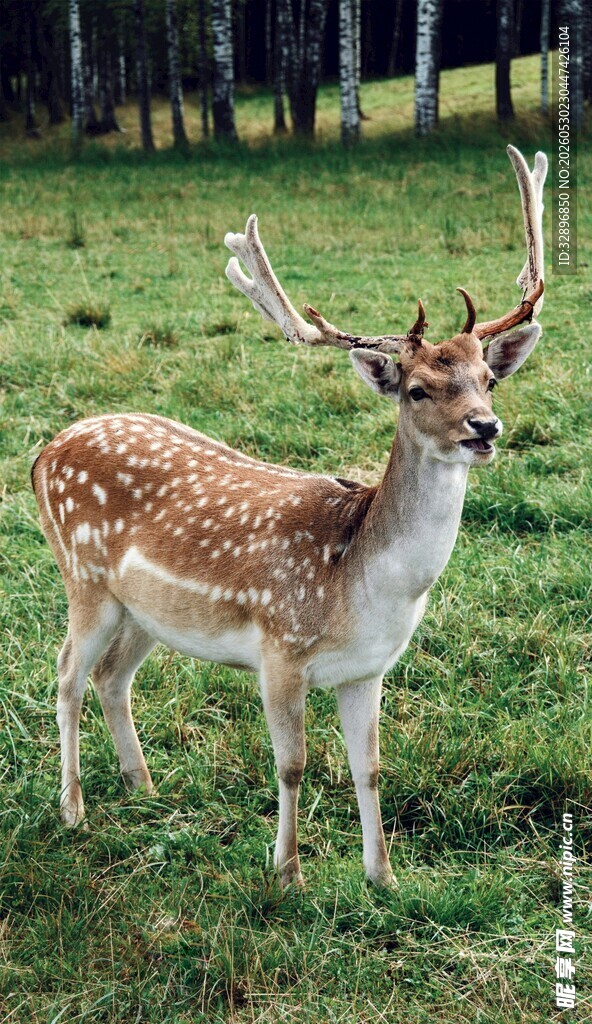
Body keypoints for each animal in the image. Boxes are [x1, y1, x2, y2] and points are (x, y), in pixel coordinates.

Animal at [32, 145, 546, 888]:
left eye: (490, 379)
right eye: (418, 389)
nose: (486, 428)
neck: (360, 585)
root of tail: (42, 454)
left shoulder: (369, 668)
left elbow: (371, 768)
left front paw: (383, 878)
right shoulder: (280, 650)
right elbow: (293, 764)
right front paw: (287, 875)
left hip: (145, 610)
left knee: (112, 677)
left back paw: (143, 787)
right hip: (85, 578)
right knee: (68, 673)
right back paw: (73, 810)